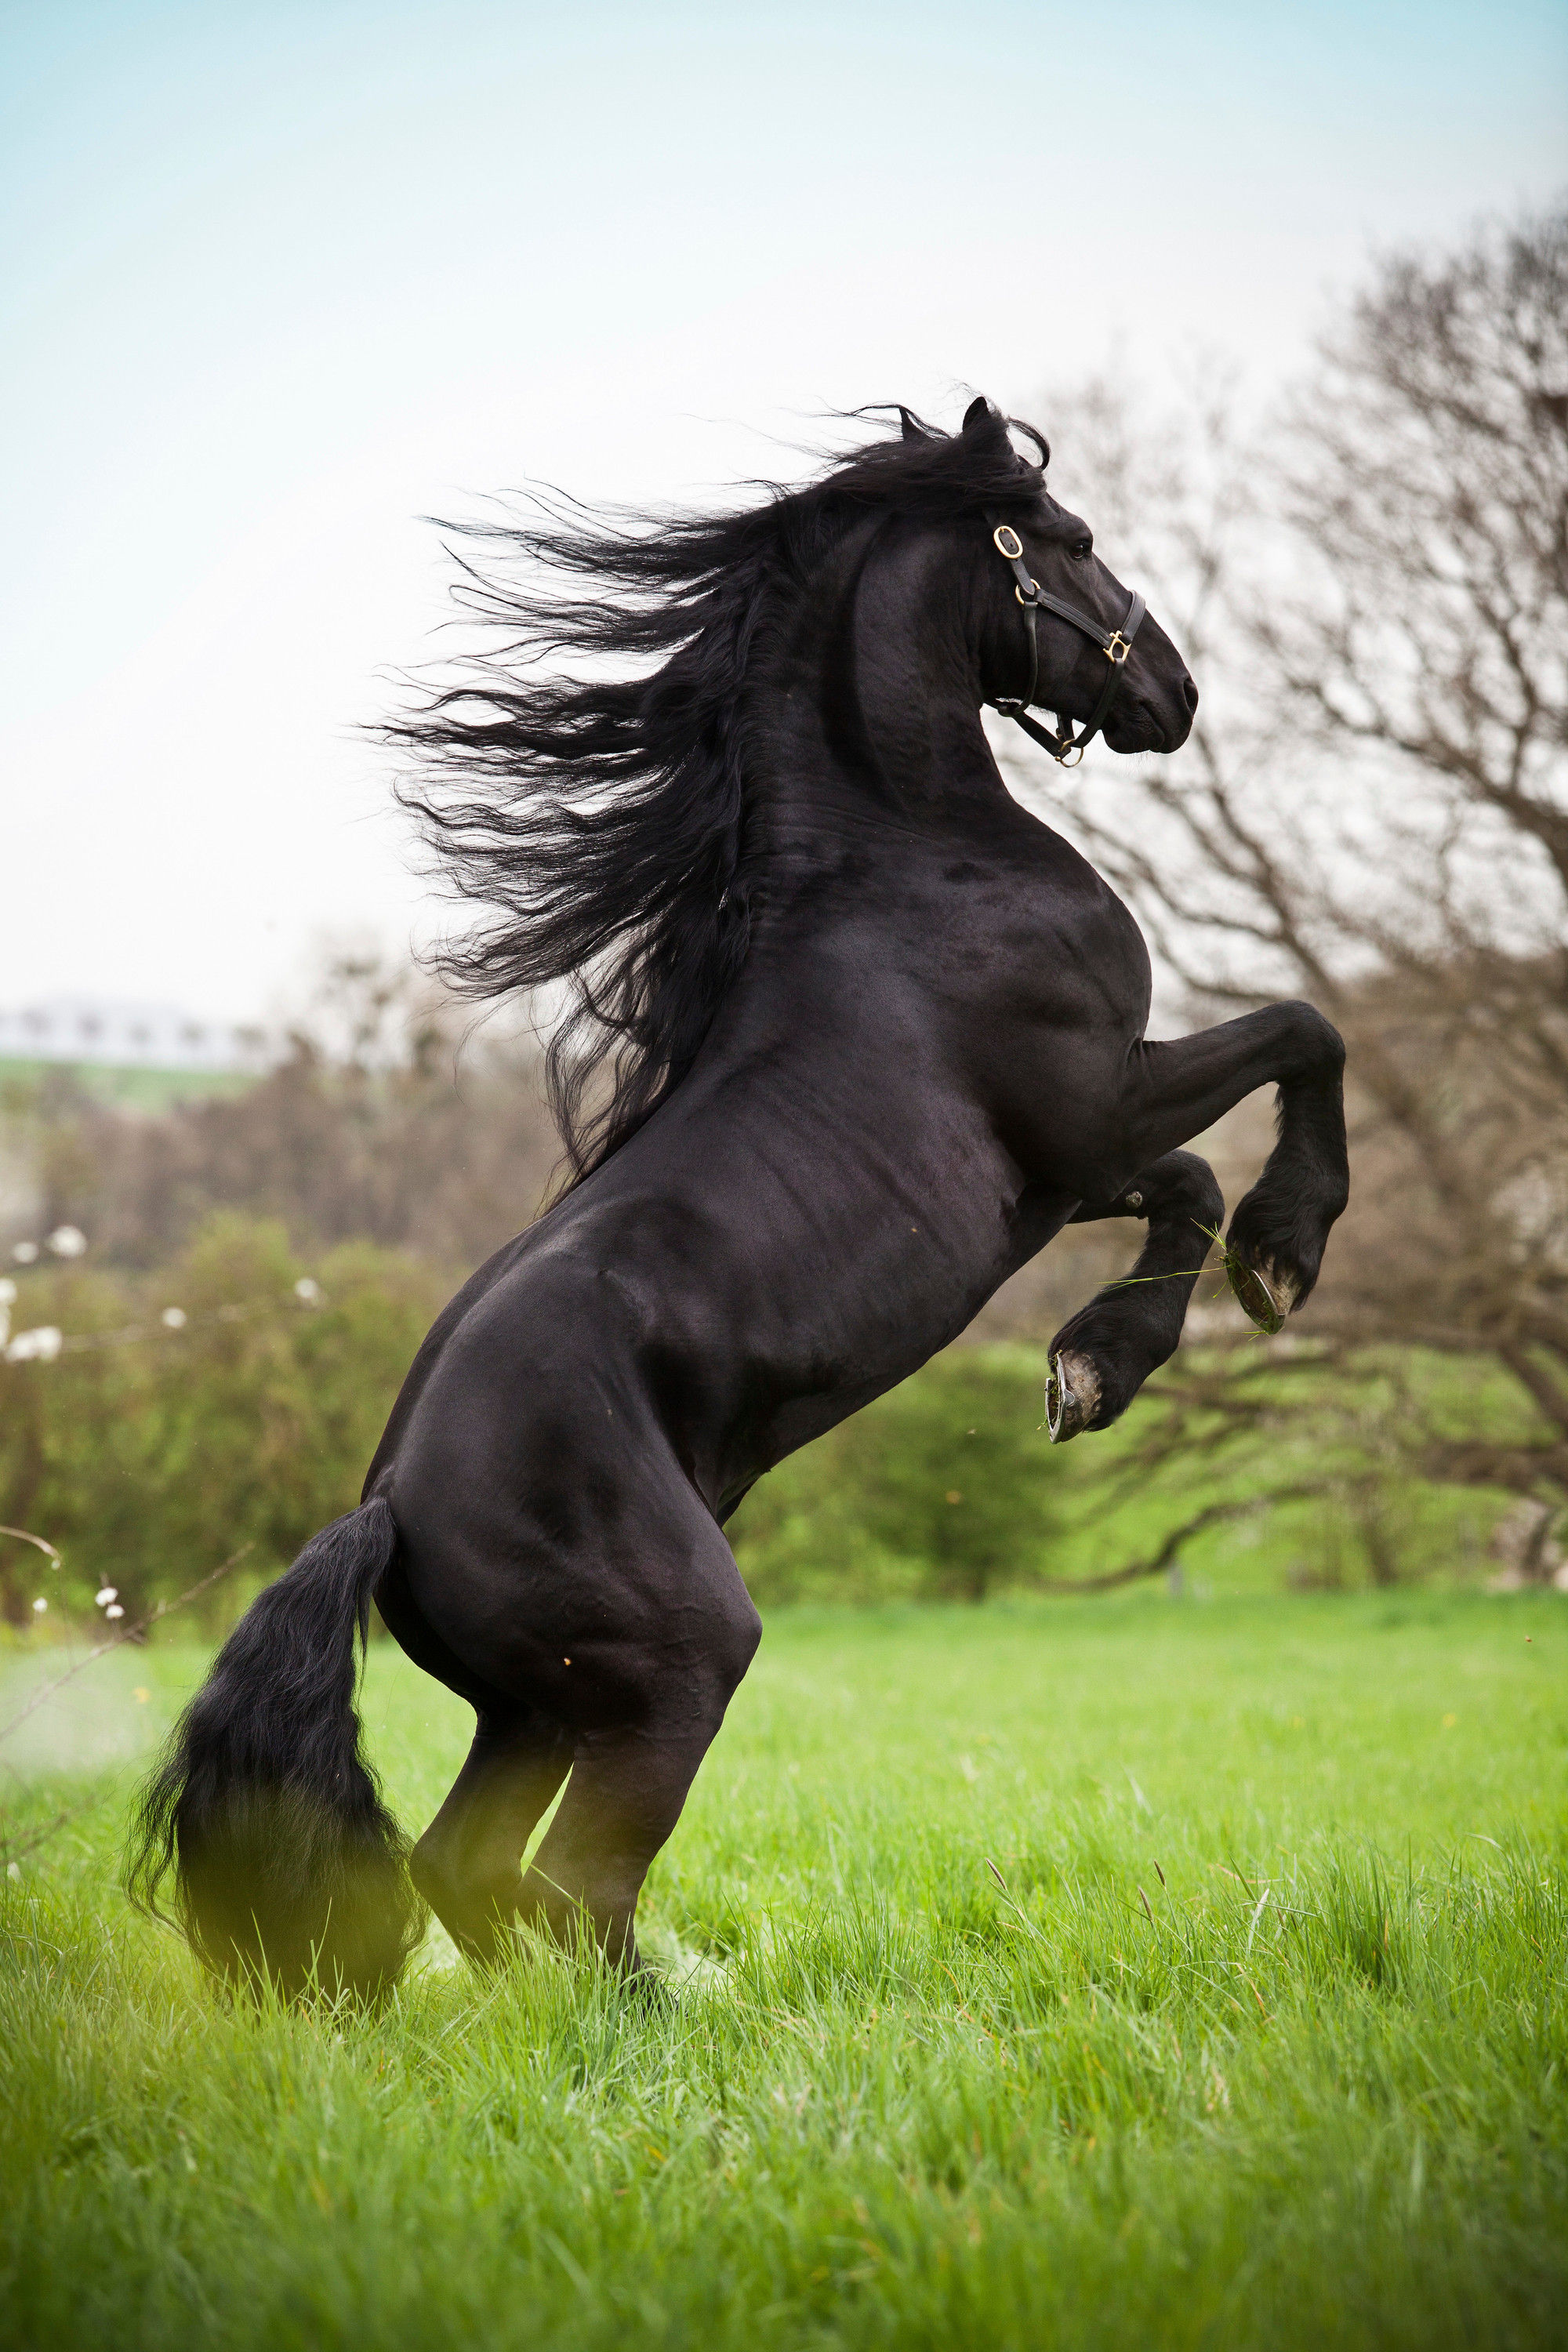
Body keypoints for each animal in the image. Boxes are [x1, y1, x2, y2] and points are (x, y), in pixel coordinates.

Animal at [129, 397, 1348, 1998]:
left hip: (545, 1705)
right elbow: (1301, 1039)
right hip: (677, 1659)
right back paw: (671, 2019)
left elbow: (1196, 1179)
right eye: (1071, 539)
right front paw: (1267, 1266)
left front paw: (1100, 1363)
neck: (914, 868)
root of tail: (386, 1504)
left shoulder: (1066, 1172)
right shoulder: (1095, 1111)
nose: (1176, 691)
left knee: (473, 1870)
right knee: (571, 1886)